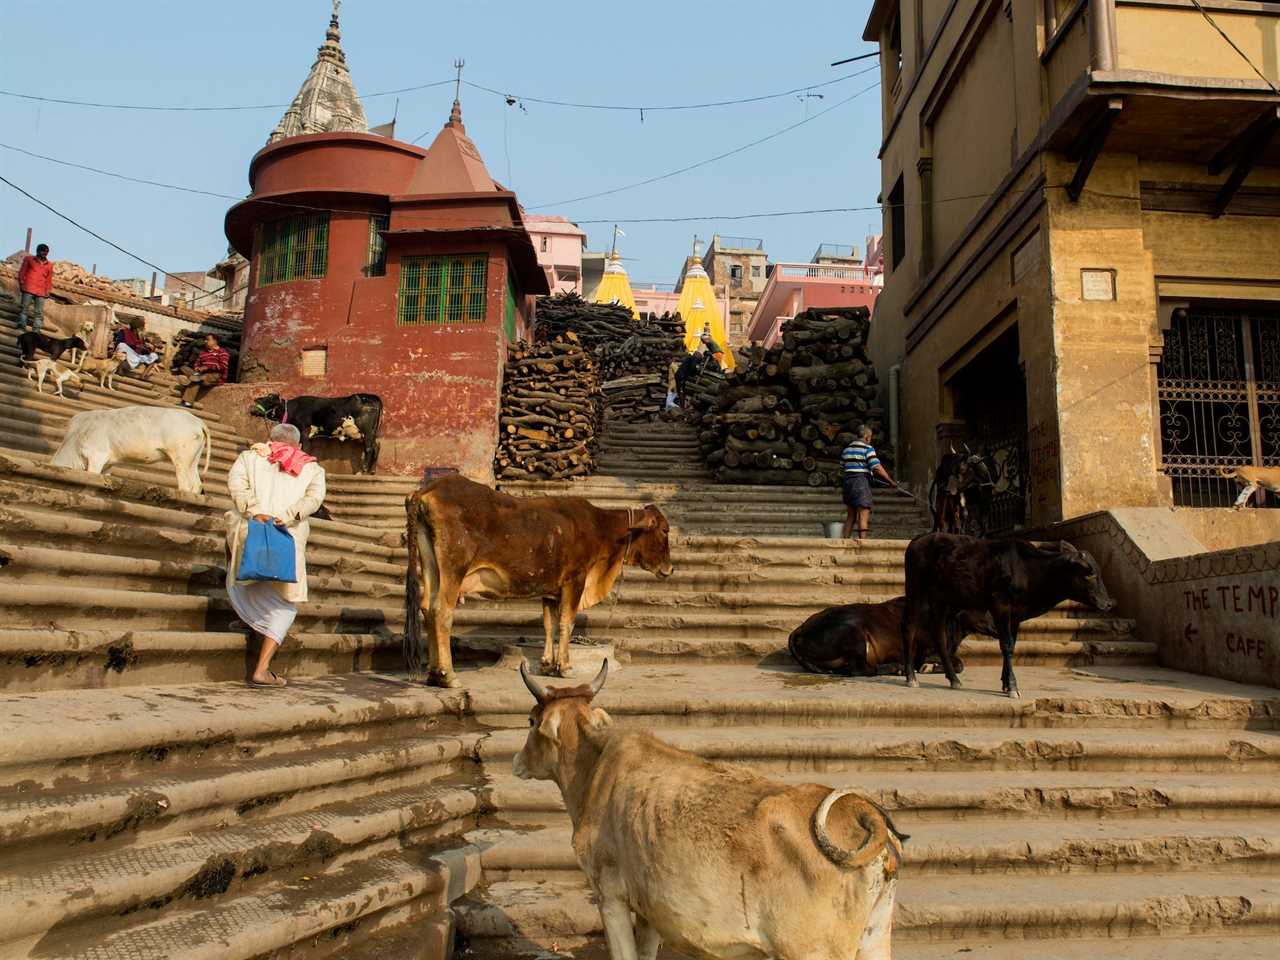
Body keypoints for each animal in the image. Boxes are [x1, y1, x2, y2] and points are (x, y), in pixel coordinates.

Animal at [51, 407, 212, 496]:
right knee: (196, 485)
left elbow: (92, 478)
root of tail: (197, 421)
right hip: (192, 460)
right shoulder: (108, 464)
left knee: (185, 485)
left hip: (180, 458)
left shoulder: (96, 456)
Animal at [249, 391, 378, 476]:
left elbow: (305, 449)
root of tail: (371, 396)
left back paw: (364, 470)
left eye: (269, 399)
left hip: (367, 431)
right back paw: (372, 470)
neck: (291, 410)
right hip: (372, 432)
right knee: (376, 447)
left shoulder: (304, 433)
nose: (252, 408)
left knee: (369, 448)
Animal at [404, 478, 675, 691]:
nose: (670, 569)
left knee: (427, 608)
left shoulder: (551, 588)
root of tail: (427, 490)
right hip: (454, 568)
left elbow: (548, 625)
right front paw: (564, 666)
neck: (602, 530)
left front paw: (547, 664)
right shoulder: (575, 580)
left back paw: (433, 675)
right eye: (664, 530)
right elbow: (566, 622)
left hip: (431, 567)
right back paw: (448, 676)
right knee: (441, 612)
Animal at [512, 665, 911, 960]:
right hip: (875, 936)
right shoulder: (649, 907)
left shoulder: (610, 896)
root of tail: (861, 811)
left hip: (812, 951)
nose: (516, 762)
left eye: (530, 721)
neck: (594, 765)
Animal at [788, 599, 998, 680]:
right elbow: (959, 663)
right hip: (854, 634)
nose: (998, 628)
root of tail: (800, 630)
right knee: (860, 670)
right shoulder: (924, 652)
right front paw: (929, 668)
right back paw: (896, 668)